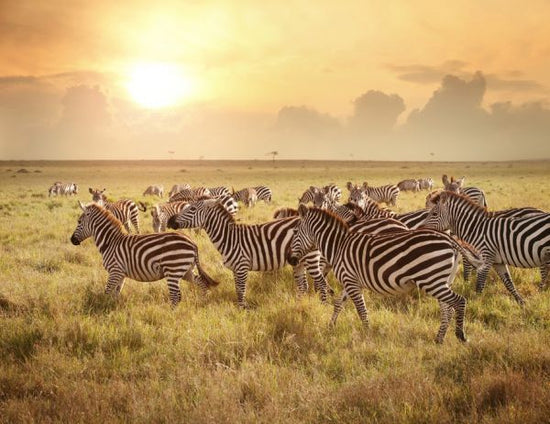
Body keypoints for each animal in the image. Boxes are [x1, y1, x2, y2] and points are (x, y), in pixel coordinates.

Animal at [70, 202, 220, 304]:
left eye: (79, 221)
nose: (72, 240)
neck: (111, 242)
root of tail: (192, 242)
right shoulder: (121, 273)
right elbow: (116, 293)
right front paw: (112, 308)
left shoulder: (115, 271)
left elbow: (107, 292)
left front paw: (103, 308)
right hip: (186, 270)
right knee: (201, 283)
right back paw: (202, 302)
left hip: (173, 270)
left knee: (176, 296)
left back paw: (171, 315)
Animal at [167, 200, 332, 306]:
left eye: (192, 209)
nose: (170, 221)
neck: (229, 238)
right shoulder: (235, 269)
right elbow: (237, 290)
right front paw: (240, 310)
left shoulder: (242, 267)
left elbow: (241, 292)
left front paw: (242, 312)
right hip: (299, 262)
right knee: (304, 286)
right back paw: (299, 305)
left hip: (311, 258)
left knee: (321, 283)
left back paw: (323, 305)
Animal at [288, 205, 484, 344]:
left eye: (295, 232)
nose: (290, 260)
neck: (339, 246)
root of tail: (450, 240)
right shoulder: (350, 281)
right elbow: (338, 304)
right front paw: (330, 327)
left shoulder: (351, 281)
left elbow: (361, 310)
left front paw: (367, 334)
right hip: (442, 280)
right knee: (447, 308)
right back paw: (439, 339)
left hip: (432, 280)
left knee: (459, 301)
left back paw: (460, 335)